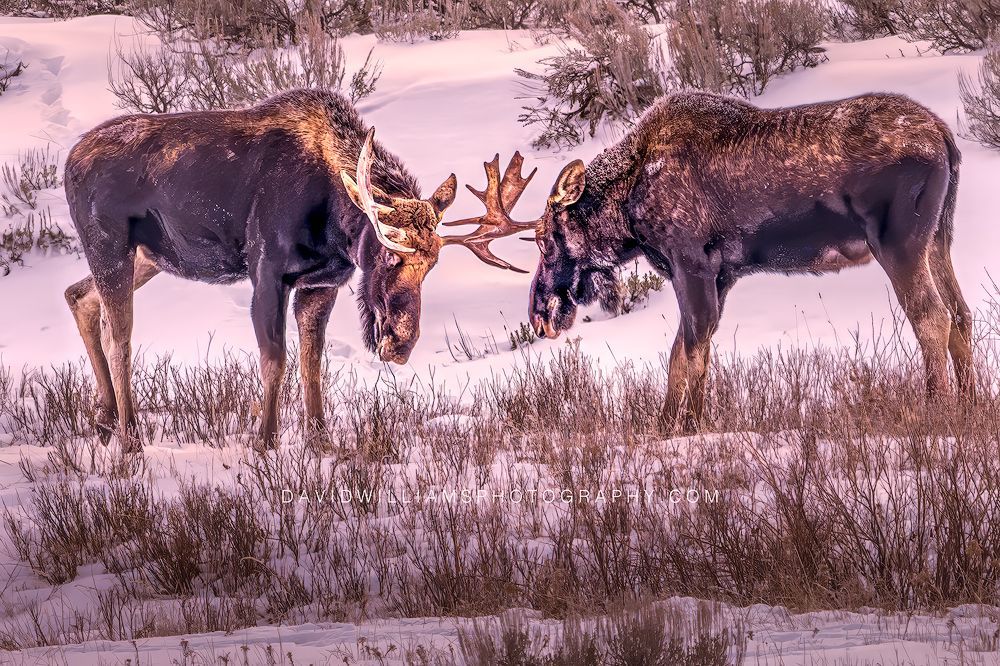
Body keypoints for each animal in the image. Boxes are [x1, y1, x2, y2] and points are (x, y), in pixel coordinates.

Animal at [62, 88, 534, 451]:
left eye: (432, 266)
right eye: (389, 254)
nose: (401, 343)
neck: (335, 225)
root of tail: (69, 161)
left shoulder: (321, 284)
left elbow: (312, 363)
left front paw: (320, 440)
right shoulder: (267, 273)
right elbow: (275, 358)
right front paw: (265, 440)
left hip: (147, 258)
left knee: (78, 296)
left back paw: (104, 420)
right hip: (109, 245)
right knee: (119, 336)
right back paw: (130, 437)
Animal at [478, 91, 974, 432]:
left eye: (545, 241)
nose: (539, 314)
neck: (627, 207)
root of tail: (945, 138)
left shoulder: (691, 264)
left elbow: (693, 353)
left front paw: (690, 426)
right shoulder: (721, 275)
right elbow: (682, 353)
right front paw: (664, 427)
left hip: (898, 243)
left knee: (932, 317)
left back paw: (936, 408)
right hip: (939, 237)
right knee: (961, 314)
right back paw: (972, 402)